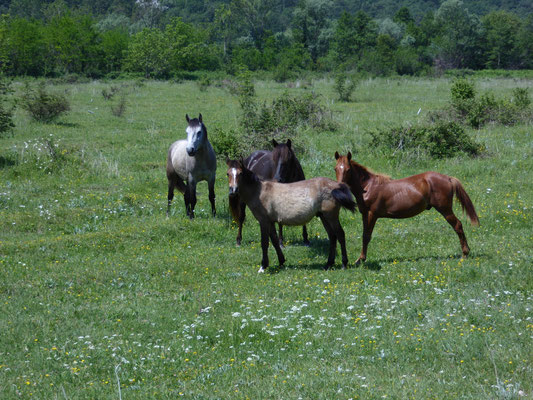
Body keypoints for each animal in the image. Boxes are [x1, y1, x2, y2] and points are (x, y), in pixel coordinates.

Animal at [227, 159, 356, 272]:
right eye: (228, 173)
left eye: (240, 173)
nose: (233, 190)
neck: (259, 191)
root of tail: (337, 185)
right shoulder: (270, 222)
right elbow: (274, 241)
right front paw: (281, 261)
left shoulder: (263, 221)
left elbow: (264, 243)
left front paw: (263, 266)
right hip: (324, 217)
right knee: (332, 237)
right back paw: (328, 264)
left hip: (331, 216)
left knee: (340, 235)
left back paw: (344, 263)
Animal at [332, 152, 478, 264]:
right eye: (335, 168)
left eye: (348, 169)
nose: (340, 186)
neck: (368, 187)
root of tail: (448, 178)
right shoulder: (364, 214)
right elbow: (364, 235)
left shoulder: (371, 214)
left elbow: (366, 236)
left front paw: (360, 260)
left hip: (445, 210)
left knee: (458, 225)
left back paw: (465, 254)